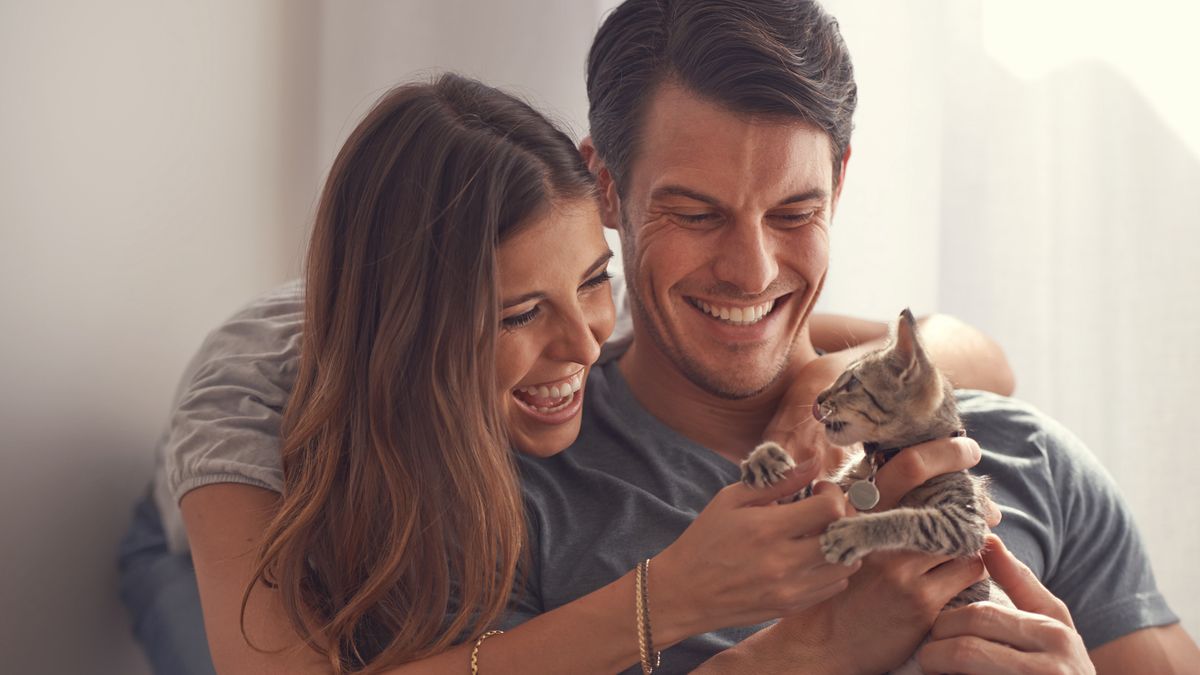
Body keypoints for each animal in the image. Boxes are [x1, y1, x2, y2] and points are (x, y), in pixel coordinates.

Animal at [739, 307, 1003, 667]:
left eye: (852, 383)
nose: (818, 397)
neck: (883, 459)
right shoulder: (830, 495)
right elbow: (802, 493)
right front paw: (767, 458)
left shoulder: (966, 523)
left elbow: (911, 518)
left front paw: (856, 531)